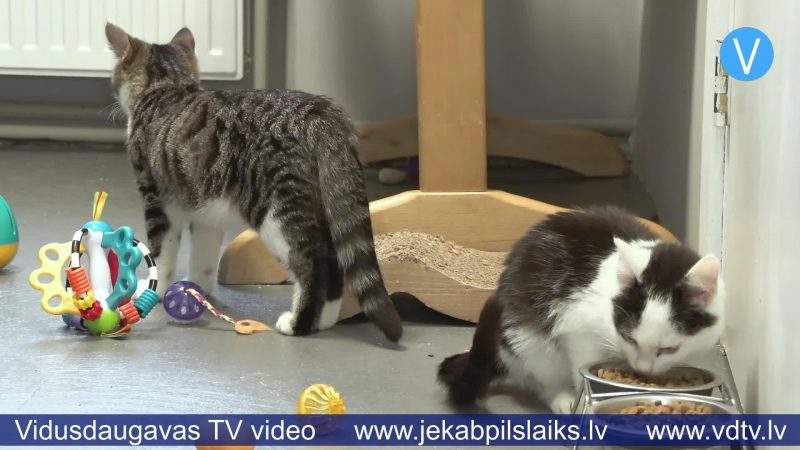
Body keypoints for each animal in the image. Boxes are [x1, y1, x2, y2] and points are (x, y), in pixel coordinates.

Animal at [104, 23, 401, 341]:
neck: (166, 88)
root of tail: (319, 112)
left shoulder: (157, 197)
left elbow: (161, 252)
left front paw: (154, 289)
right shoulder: (205, 209)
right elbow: (203, 256)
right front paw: (196, 289)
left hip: (275, 210)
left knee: (314, 261)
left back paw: (299, 323)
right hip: (321, 204)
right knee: (335, 262)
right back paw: (326, 320)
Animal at [438, 206, 724, 413]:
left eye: (669, 349)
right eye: (629, 338)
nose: (643, 370)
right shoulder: (577, 328)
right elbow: (581, 366)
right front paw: (578, 399)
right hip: (528, 338)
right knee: (540, 374)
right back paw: (560, 398)